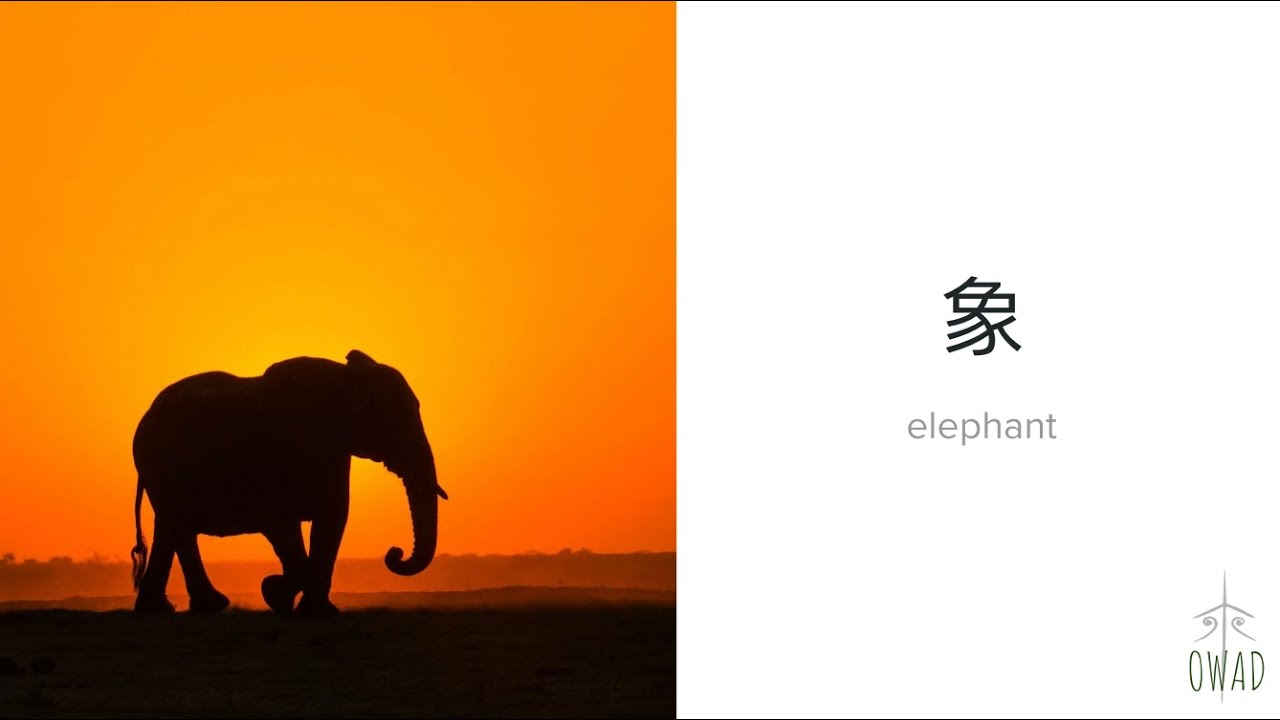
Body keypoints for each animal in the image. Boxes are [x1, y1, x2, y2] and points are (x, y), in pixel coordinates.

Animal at [128, 350, 447, 616]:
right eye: (394, 421)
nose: (394, 553)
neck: (344, 379)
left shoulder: (334, 451)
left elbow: (332, 518)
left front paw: (314, 610)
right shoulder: (276, 452)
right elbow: (281, 521)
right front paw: (275, 593)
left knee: (172, 528)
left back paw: (173, 608)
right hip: (158, 465)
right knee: (177, 526)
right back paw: (199, 606)